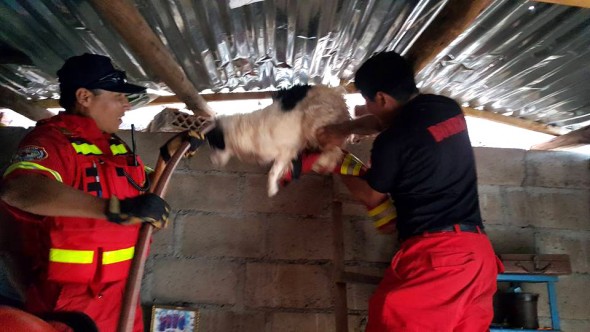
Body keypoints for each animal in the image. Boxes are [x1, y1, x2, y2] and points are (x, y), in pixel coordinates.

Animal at [207, 84, 352, 196]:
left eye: (214, 146)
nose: (211, 161)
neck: (245, 132)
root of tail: (337, 92)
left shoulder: (286, 150)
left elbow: (272, 172)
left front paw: (272, 189)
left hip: (312, 121)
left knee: (335, 149)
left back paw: (321, 164)